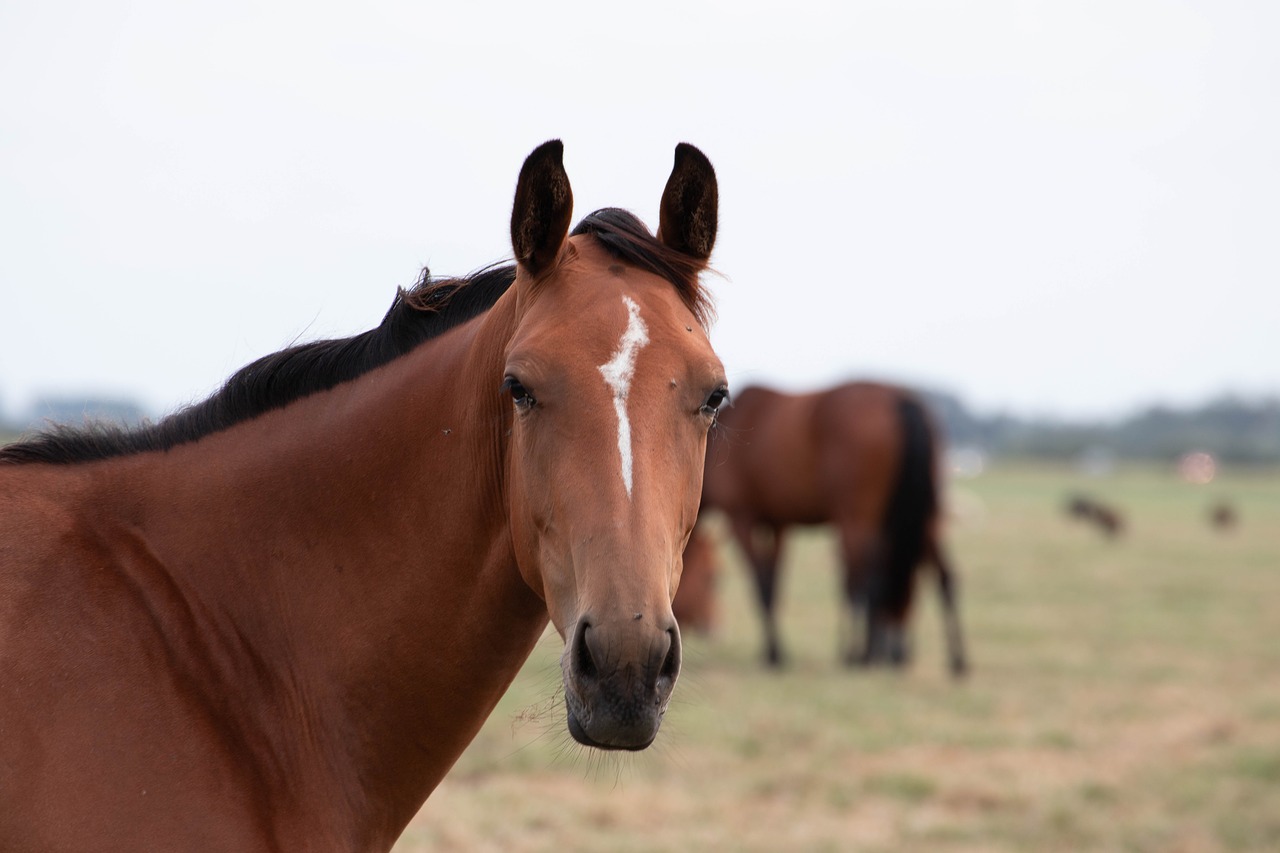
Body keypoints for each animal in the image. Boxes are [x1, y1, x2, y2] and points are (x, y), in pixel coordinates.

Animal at [696, 381, 962, 676]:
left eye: (714, 578)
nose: (712, 630)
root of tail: (901, 401)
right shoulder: (778, 524)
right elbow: (775, 583)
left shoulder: (741, 518)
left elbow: (762, 585)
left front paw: (774, 654)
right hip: (926, 518)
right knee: (943, 576)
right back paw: (954, 660)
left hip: (860, 520)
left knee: (869, 581)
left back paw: (865, 654)